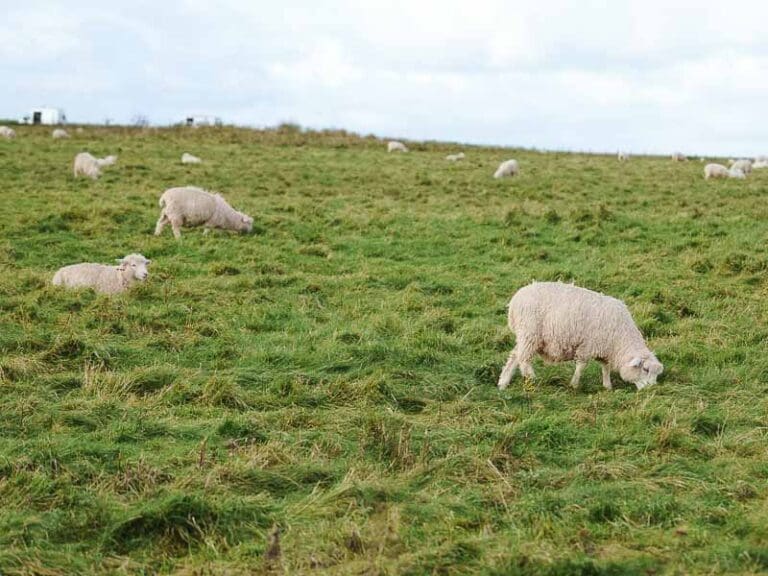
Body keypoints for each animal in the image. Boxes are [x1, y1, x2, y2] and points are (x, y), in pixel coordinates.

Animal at [496, 282, 664, 392]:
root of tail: (515, 300)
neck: (620, 339)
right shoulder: (587, 346)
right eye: (645, 369)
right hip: (530, 333)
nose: (651, 390)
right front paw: (574, 384)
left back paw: (503, 382)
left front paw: (607, 386)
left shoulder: (604, 349)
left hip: (525, 335)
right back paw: (532, 377)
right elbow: (581, 367)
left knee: (515, 356)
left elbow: (605, 368)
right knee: (524, 359)